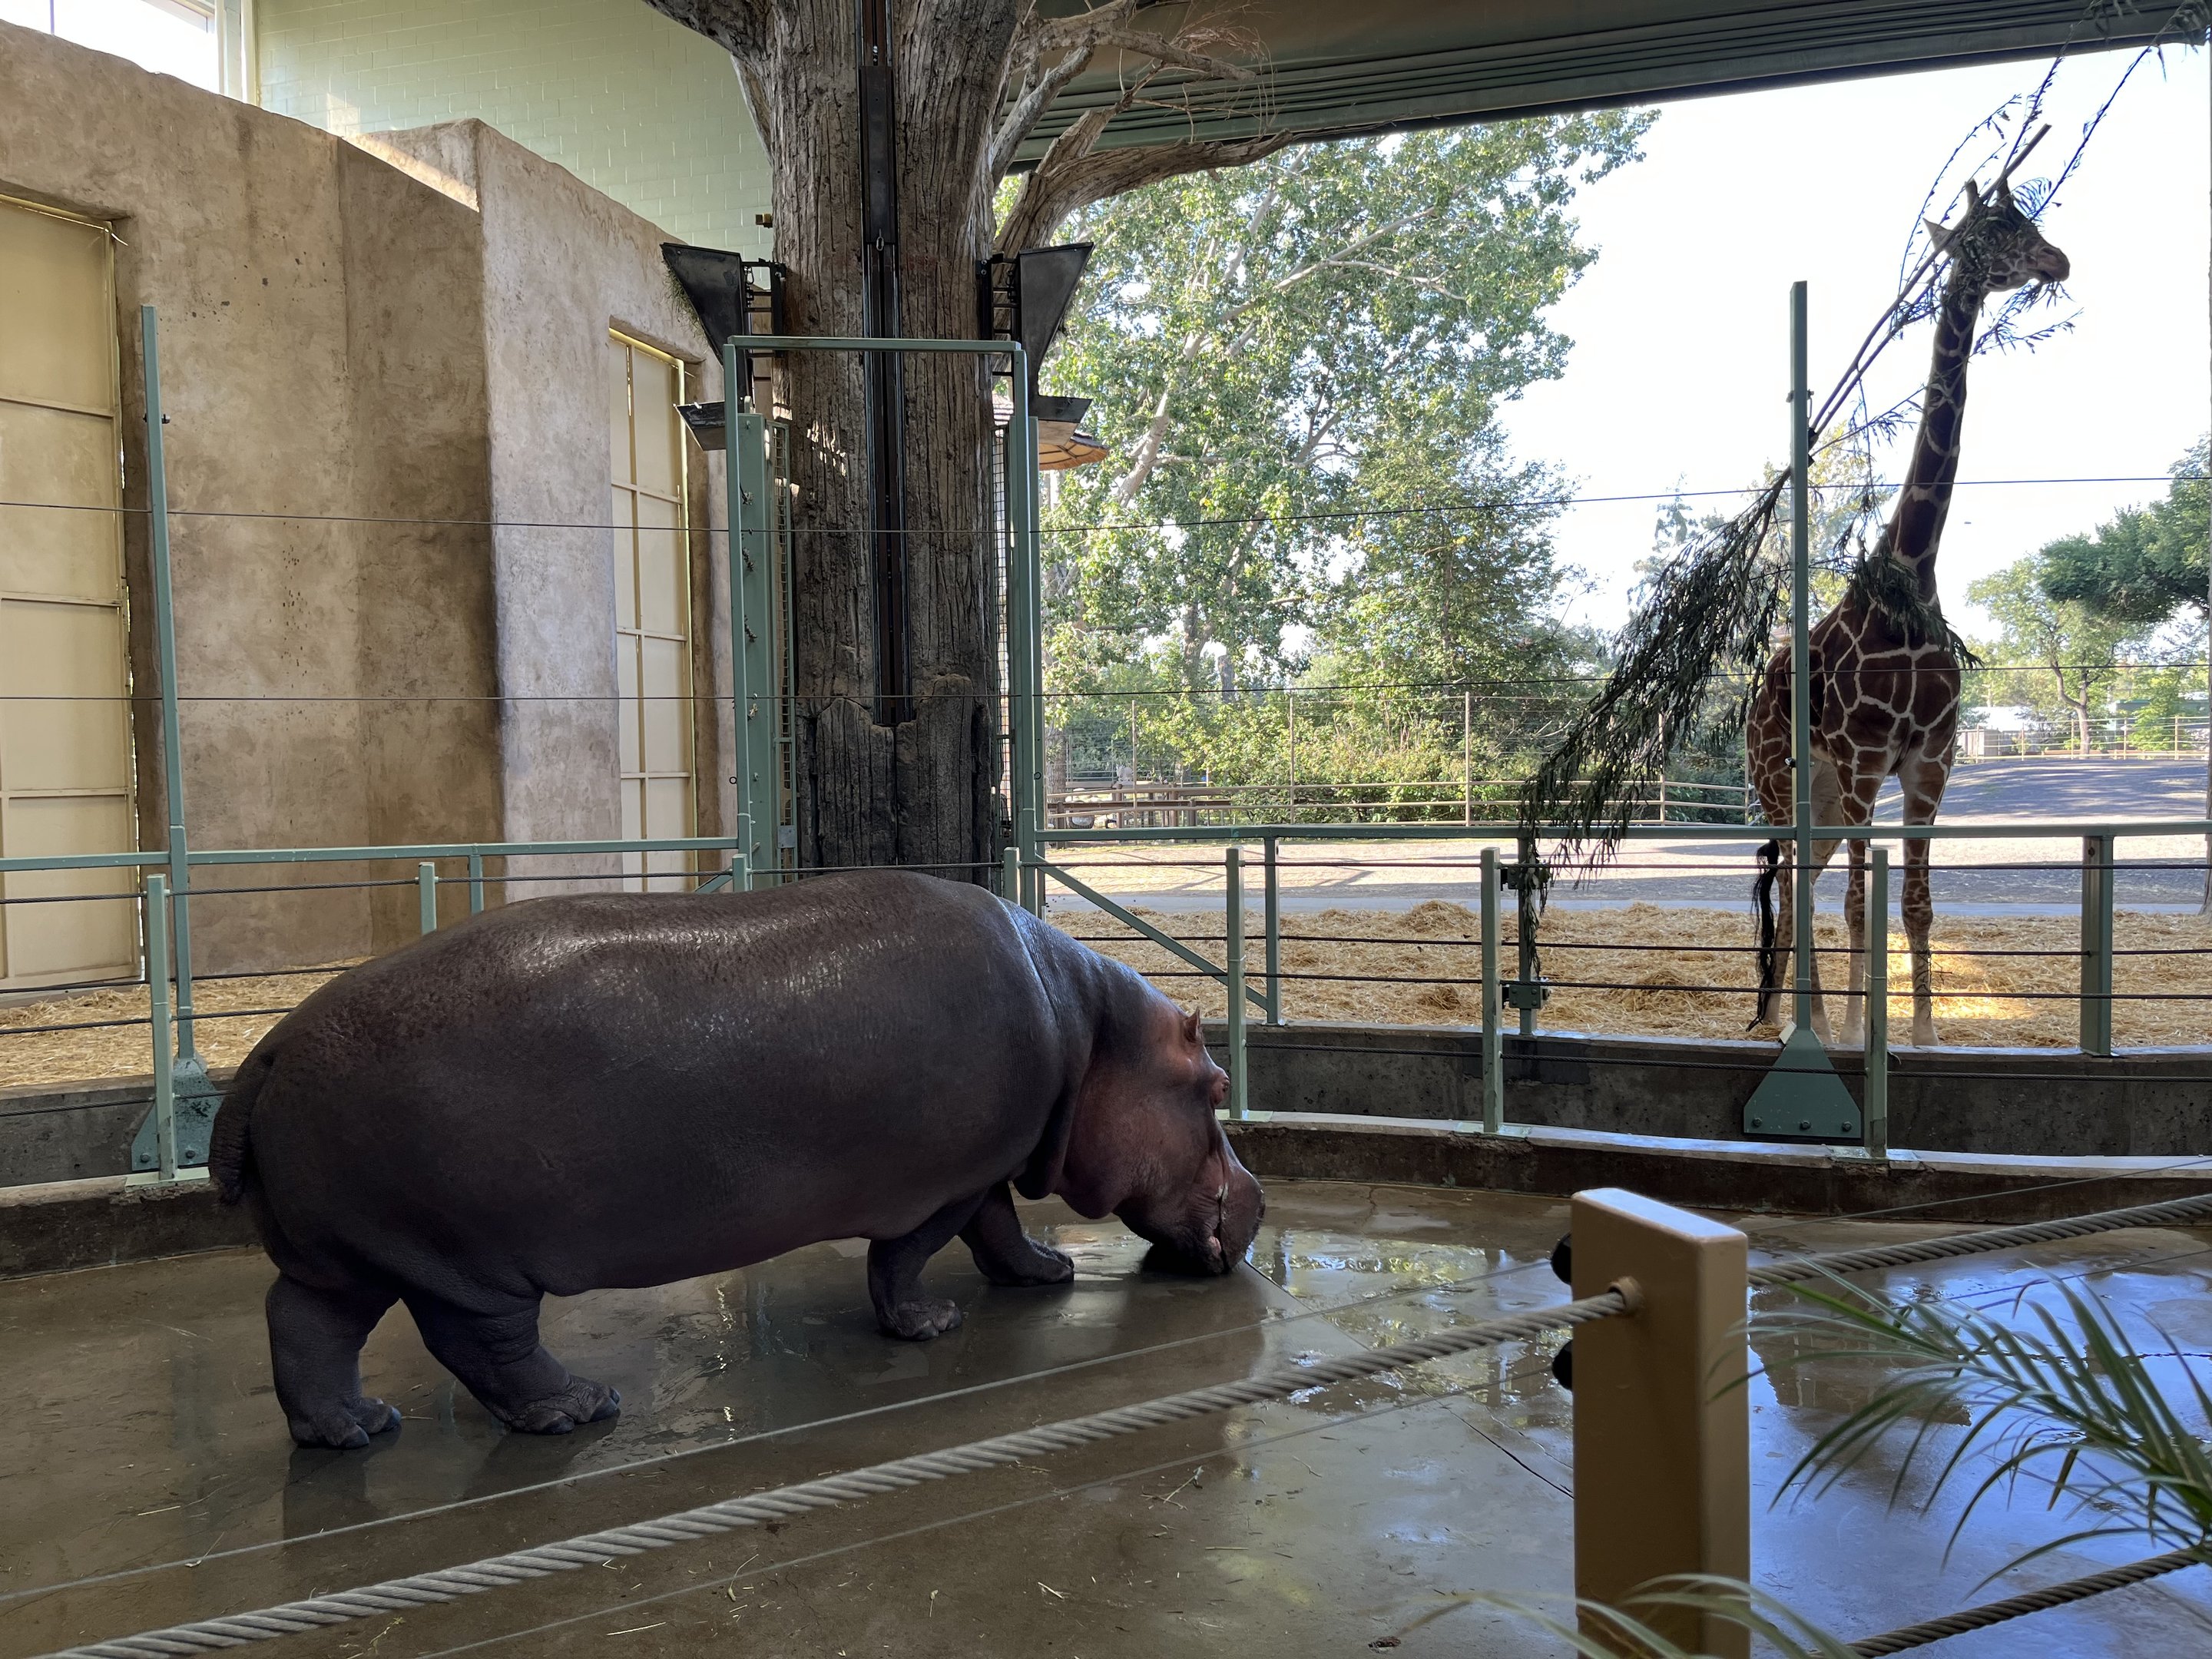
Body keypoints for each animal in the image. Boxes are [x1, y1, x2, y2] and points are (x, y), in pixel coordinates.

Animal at [210, 870, 1264, 1449]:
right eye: (1215, 1086)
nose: (1256, 1197)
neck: (1090, 1033)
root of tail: (270, 1048)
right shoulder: (941, 1181)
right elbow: (916, 1251)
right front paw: (930, 1326)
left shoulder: (982, 1166)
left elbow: (1000, 1227)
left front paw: (1046, 1278)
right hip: (465, 1261)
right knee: (484, 1346)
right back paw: (582, 1409)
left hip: (351, 1253)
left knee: (302, 1325)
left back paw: (354, 1431)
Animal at [1748, 177, 2069, 1048]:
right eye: (1993, 231)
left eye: (2025, 222)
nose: (2058, 260)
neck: (1914, 576)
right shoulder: (1866, 758)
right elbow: (1862, 906)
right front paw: (1867, 1035)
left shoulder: (1932, 760)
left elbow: (1917, 905)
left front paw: (1920, 1037)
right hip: (1782, 783)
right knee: (1795, 885)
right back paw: (1803, 1026)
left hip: (1822, 798)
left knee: (1800, 884)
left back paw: (1800, 1020)